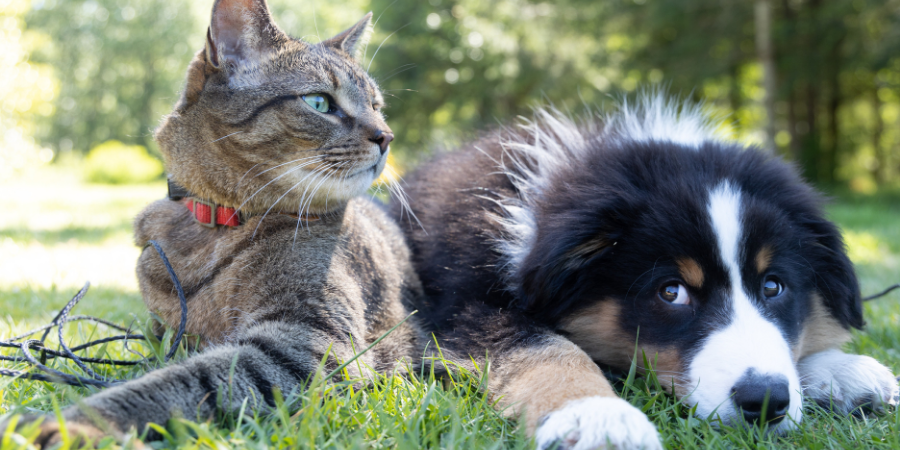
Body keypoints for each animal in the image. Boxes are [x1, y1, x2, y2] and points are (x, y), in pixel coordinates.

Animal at [4, 0, 426, 442]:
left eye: (376, 106)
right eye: (318, 102)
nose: (386, 136)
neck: (215, 224)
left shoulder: (307, 341)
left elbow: (180, 382)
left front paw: (75, 423)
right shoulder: (165, 333)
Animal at [396, 93, 900, 448]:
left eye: (774, 286)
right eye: (671, 292)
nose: (764, 402)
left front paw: (841, 371)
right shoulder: (466, 306)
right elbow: (547, 349)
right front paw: (596, 416)